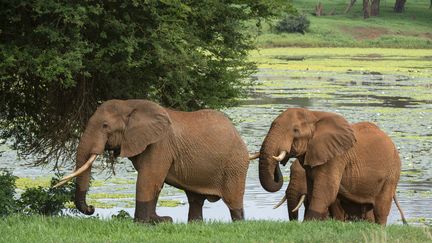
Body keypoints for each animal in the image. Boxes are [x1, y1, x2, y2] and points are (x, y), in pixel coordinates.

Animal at [54, 98, 250, 222]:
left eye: (105, 126)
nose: (91, 208)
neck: (129, 104)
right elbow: (155, 182)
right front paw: (160, 220)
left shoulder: (160, 144)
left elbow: (148, 179)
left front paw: (141, 223)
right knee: (195, 200)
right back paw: (195, 224)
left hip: (235, 164)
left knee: (233, 201)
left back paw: (238, 223)